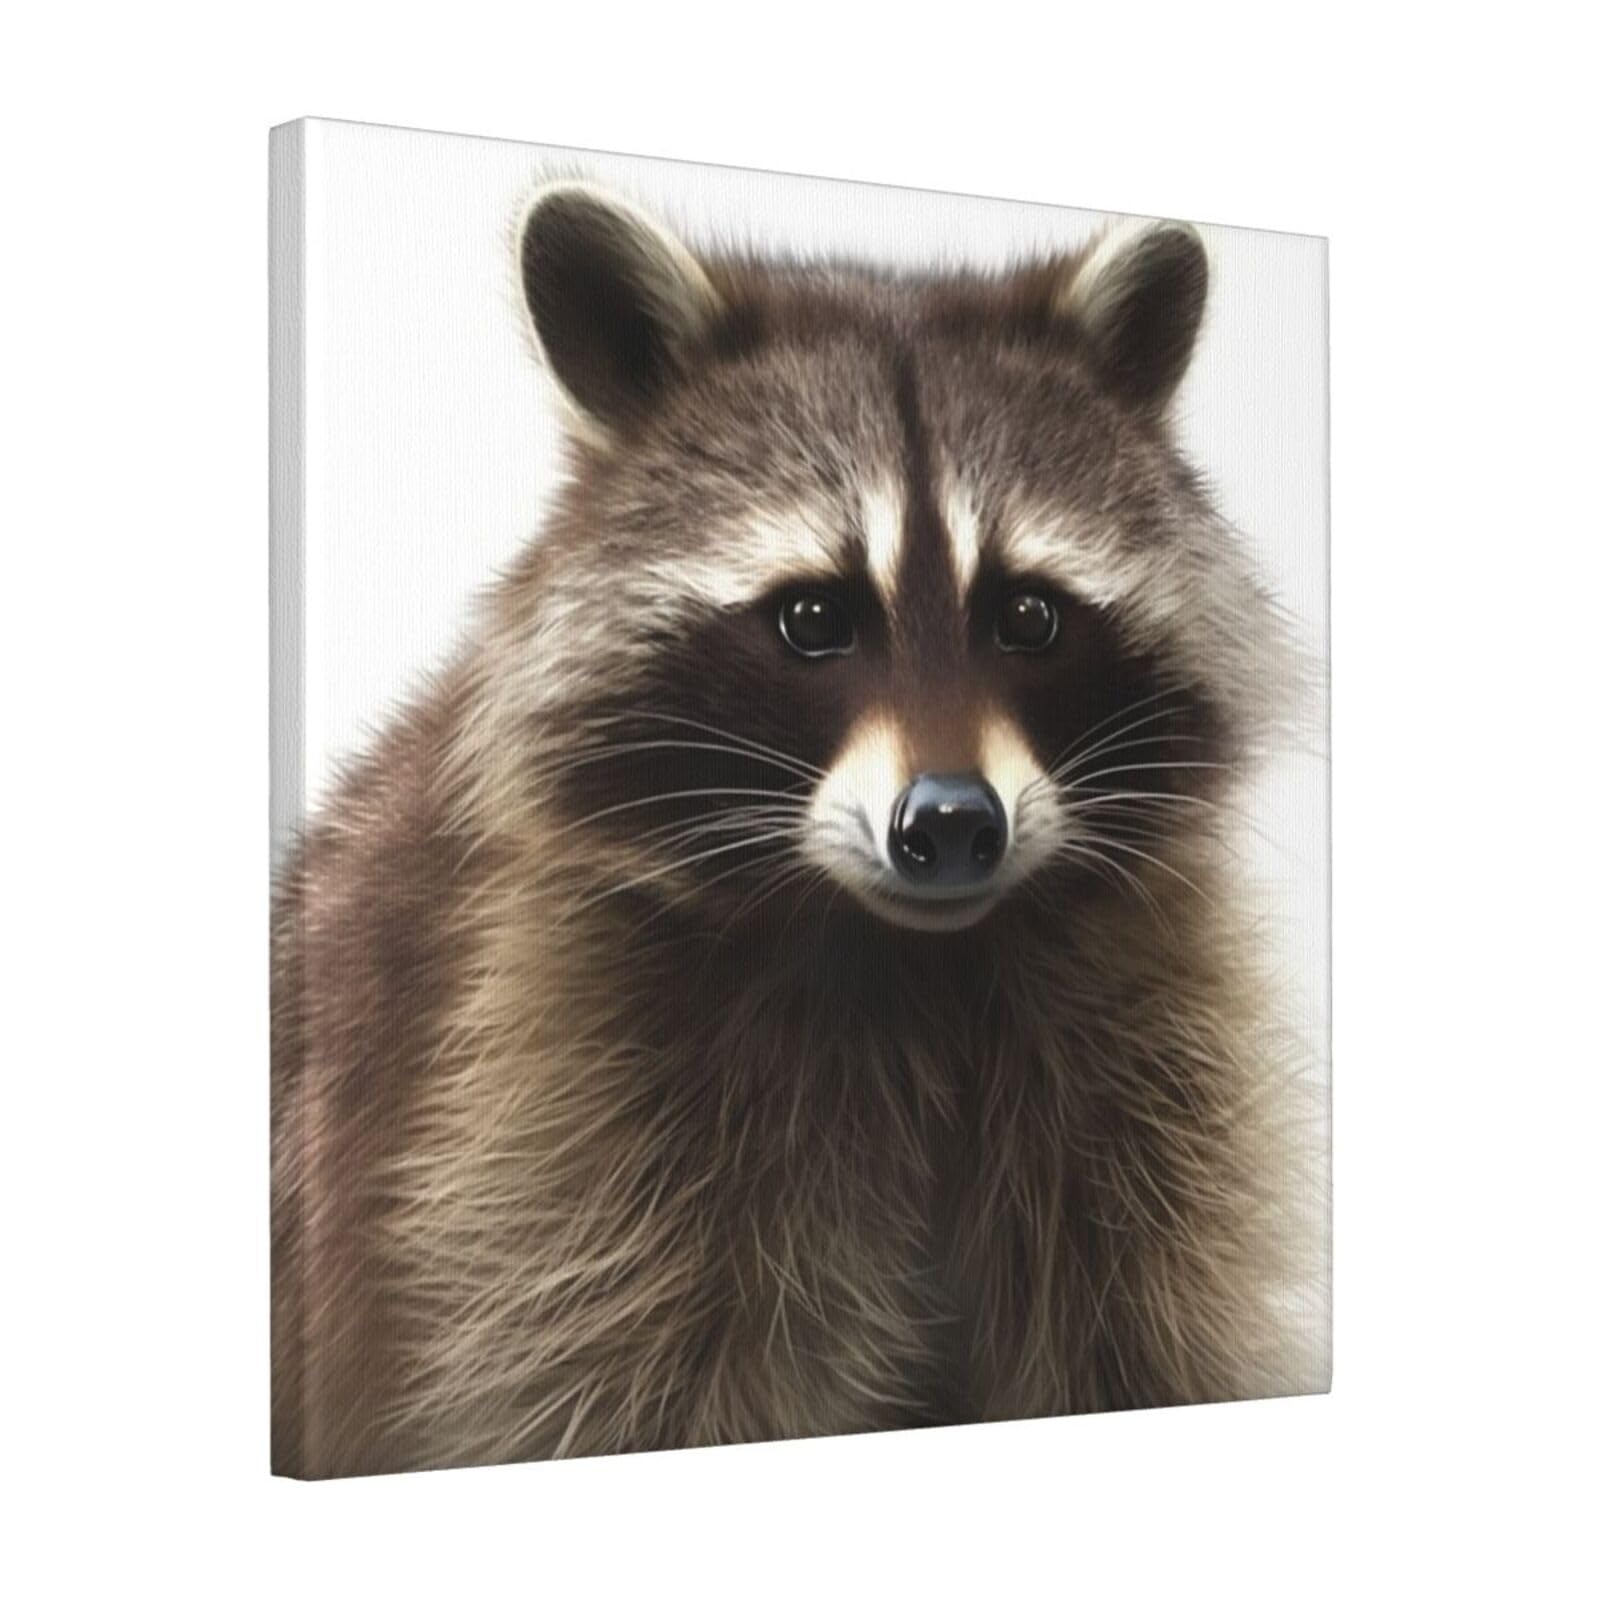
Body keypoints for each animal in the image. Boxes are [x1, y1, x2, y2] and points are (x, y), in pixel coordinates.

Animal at [272, 182, 1319, 1477]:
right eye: (814, 617)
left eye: (1028, 614)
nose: (952, 824)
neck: (917, 958)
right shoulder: (543, 1081)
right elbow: (615, 1364)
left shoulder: (1144, 1046)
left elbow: (1141, 1325)